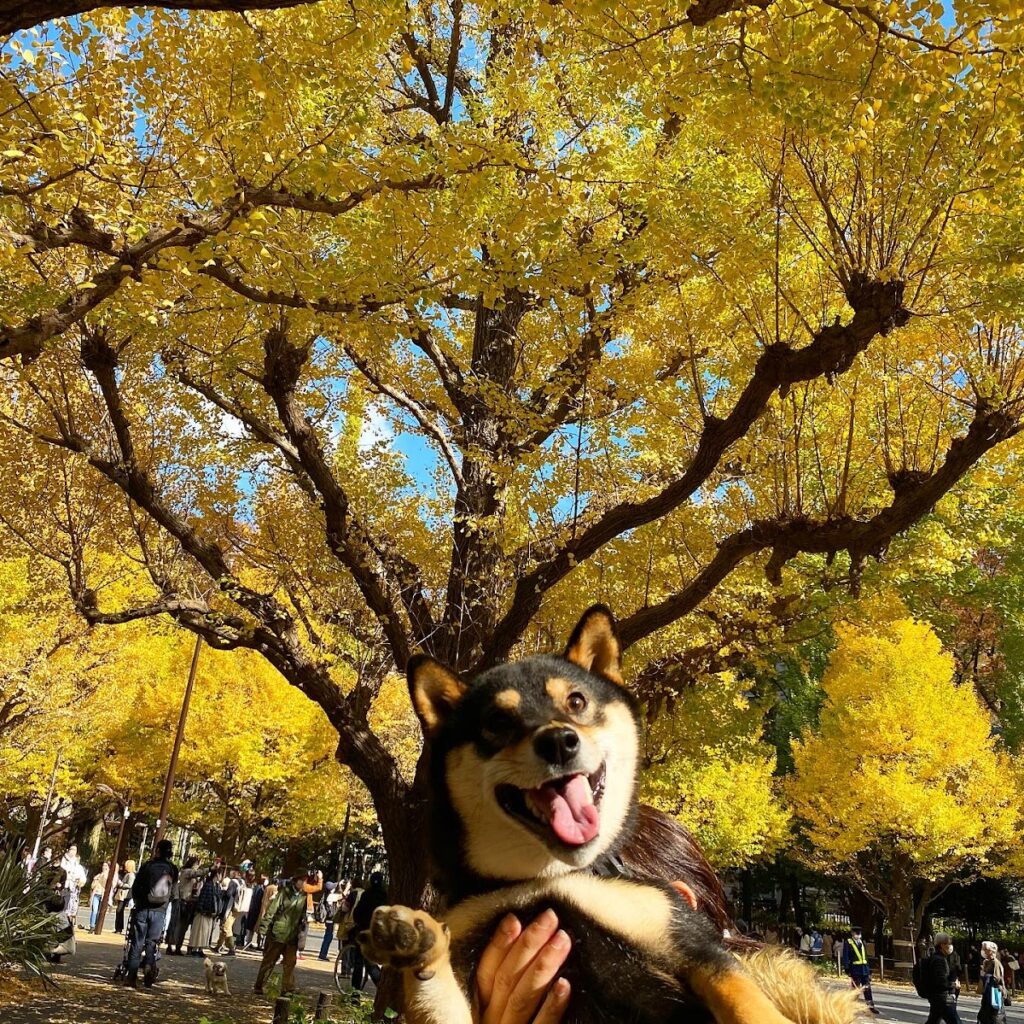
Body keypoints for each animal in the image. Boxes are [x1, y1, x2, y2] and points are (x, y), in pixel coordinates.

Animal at [356, 606, 860, 1024]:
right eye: (497, 723)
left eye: (577, 701)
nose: (559, 741)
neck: (546, 877)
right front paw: (418, 942)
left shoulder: (689, 941)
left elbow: (748, 1002)